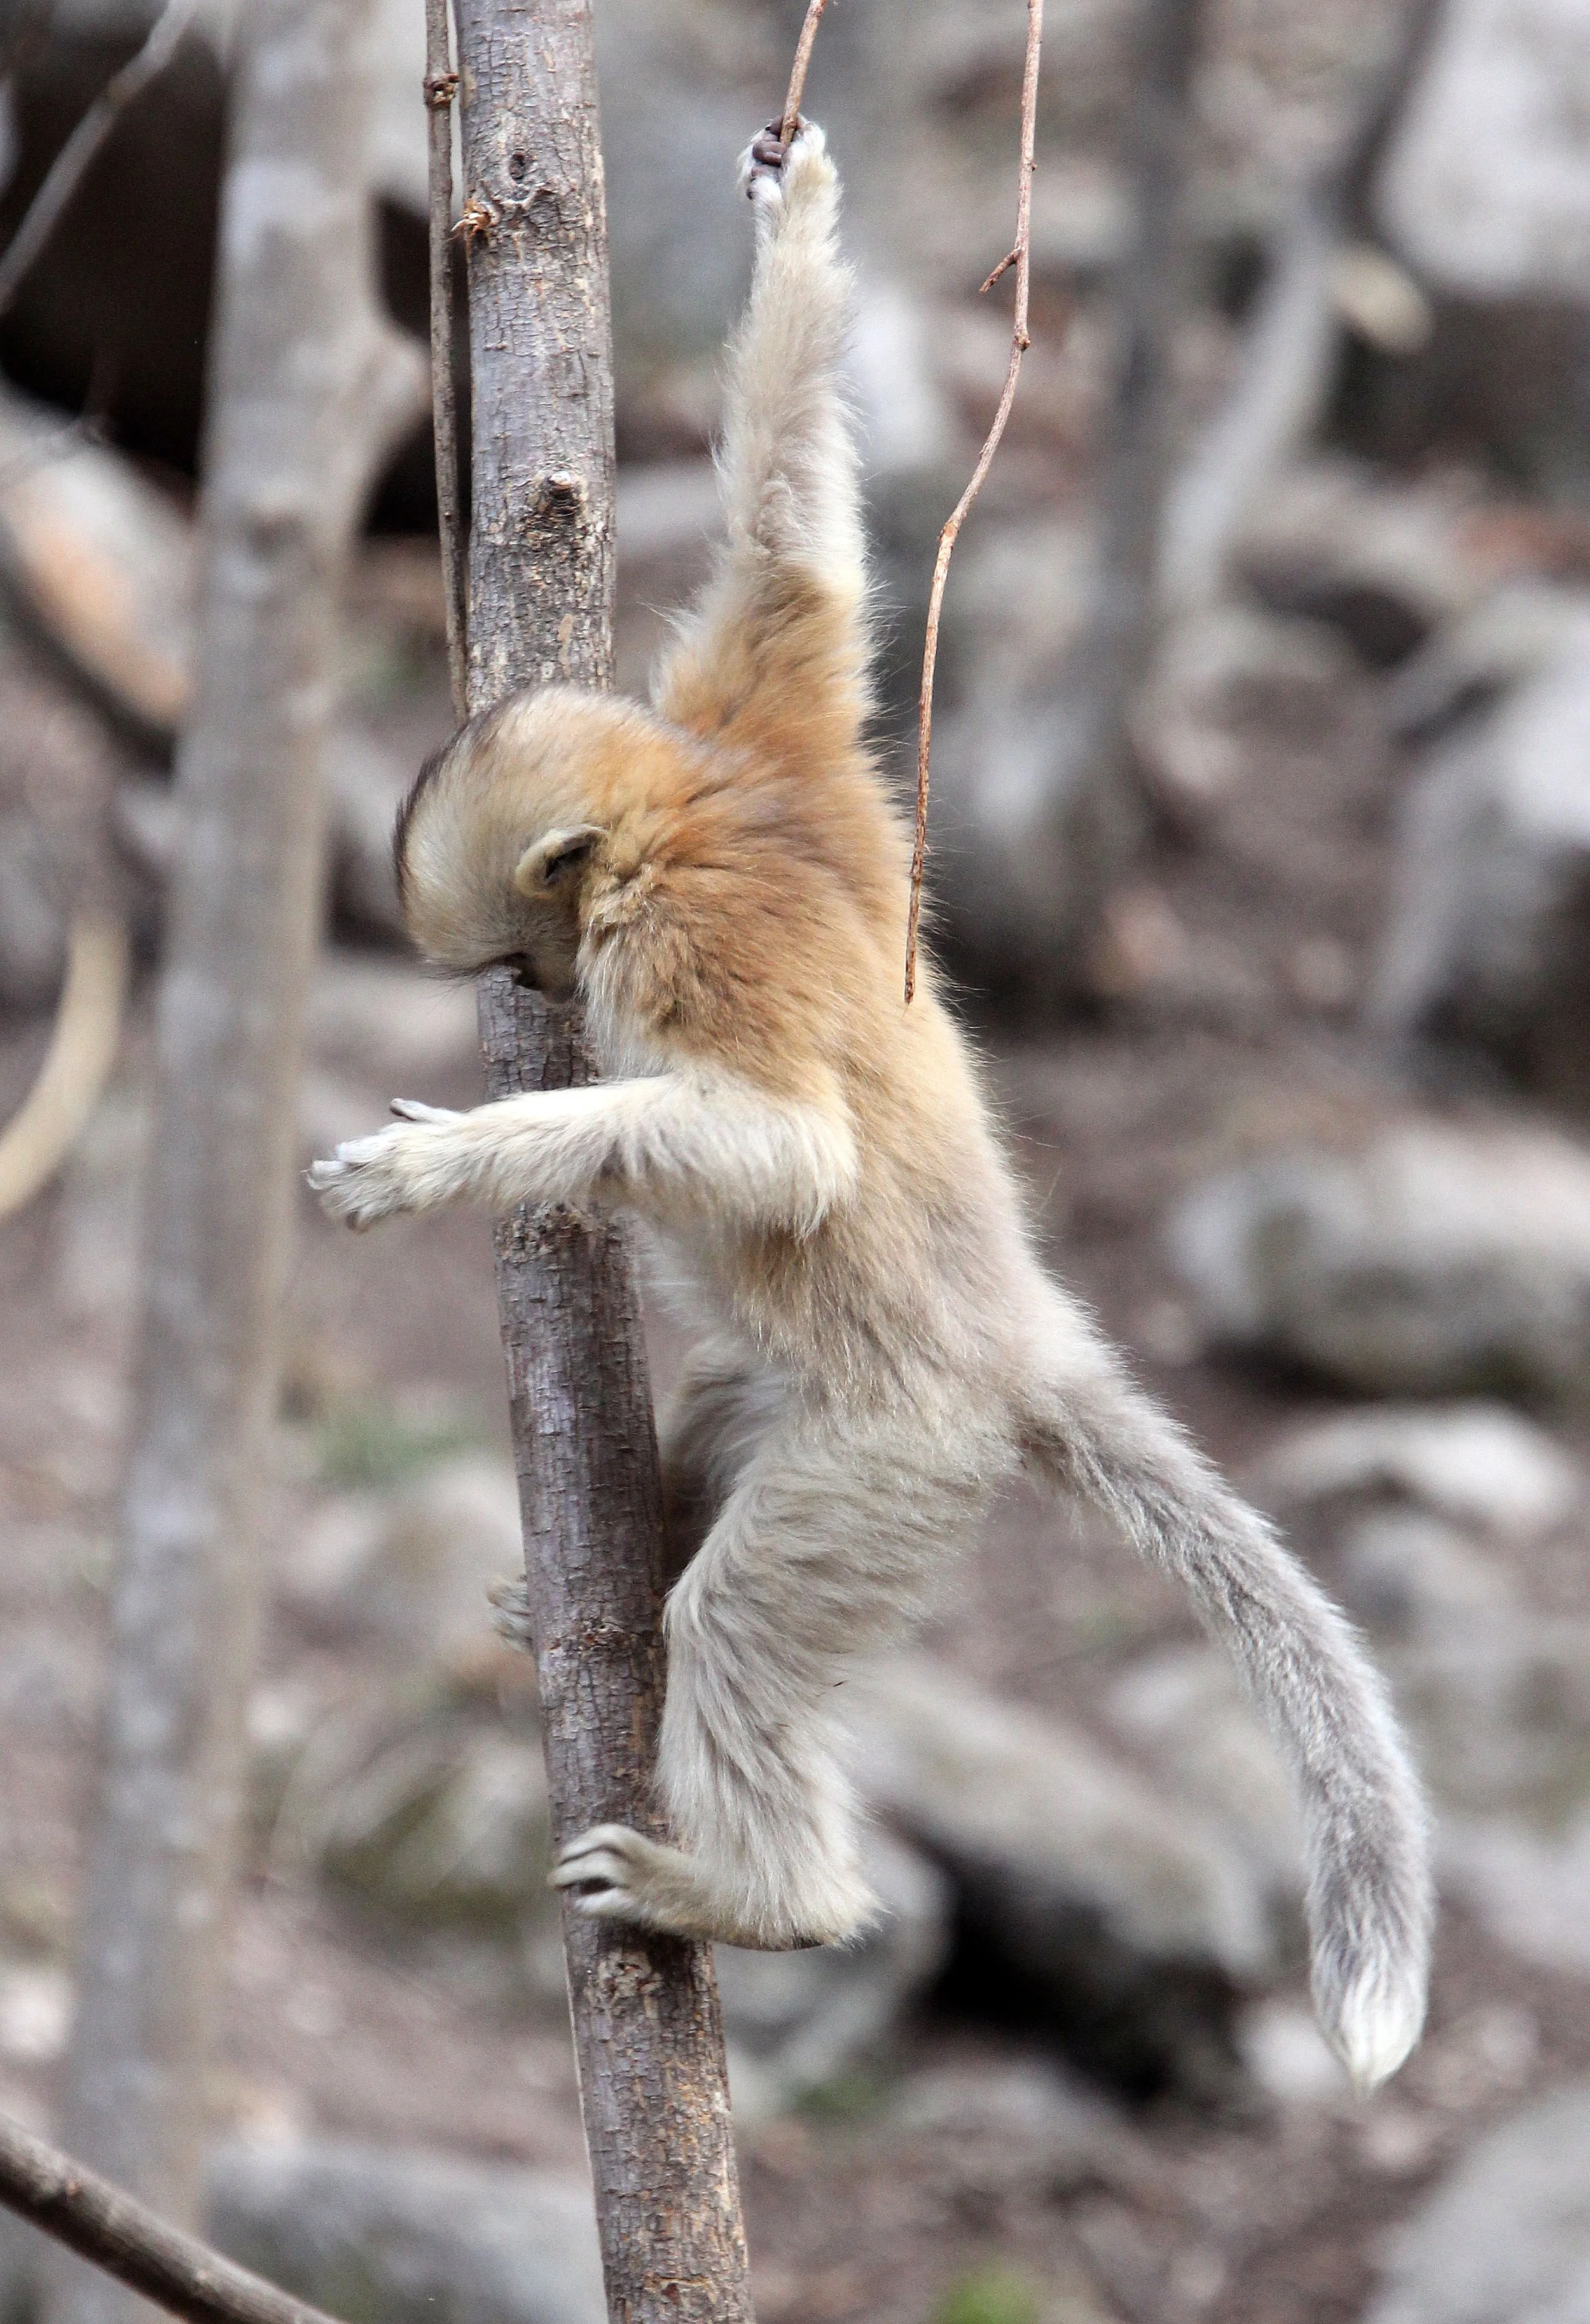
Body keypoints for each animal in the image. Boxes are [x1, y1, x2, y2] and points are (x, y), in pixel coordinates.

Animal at [309, 118, 1432, 2092]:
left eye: (510, 952)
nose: (527, 999)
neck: (682, 810)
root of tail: (1017, 1336)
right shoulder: (762, 712)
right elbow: (796, 550)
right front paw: (796, 215)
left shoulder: (681, 929)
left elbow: (788, 1148)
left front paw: (445, 1162)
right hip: (815, 1404)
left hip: (896, 1462)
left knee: (749, 1621)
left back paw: (762, 1898)